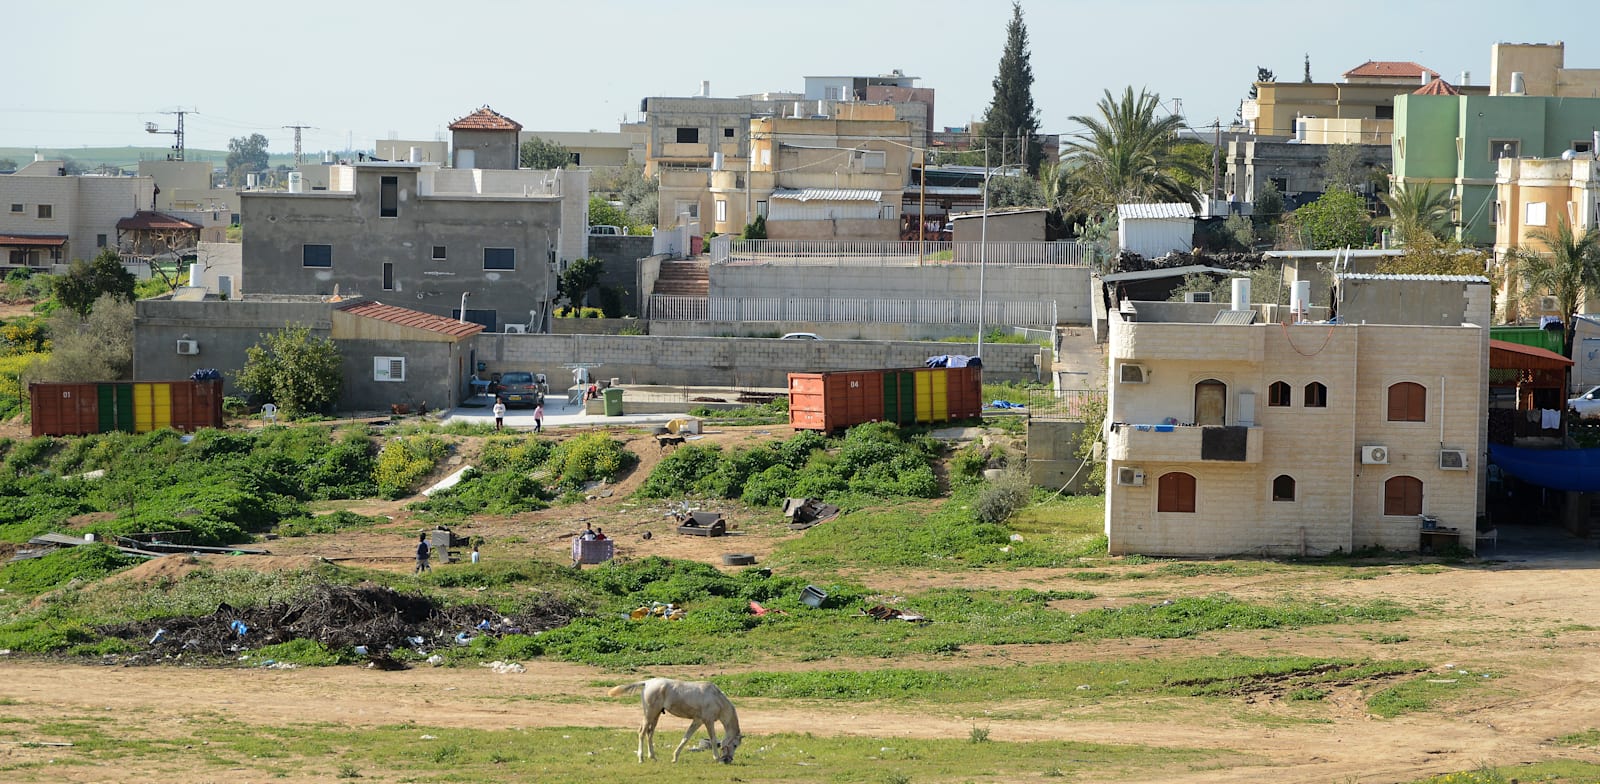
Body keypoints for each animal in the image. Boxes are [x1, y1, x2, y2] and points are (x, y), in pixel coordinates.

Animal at [604, 678, 742, 761]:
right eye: (735, 745)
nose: (729, 760)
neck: (716, 698)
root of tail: (647, 682)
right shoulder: (708, 721)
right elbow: (713, 739)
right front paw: (716, 758)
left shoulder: (697, 721)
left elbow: (686, 738)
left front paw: (675, 757)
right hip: (649, 714)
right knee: (642, 732)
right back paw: (641, 758)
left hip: (656, 716)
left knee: (650, 733)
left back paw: (653, 757)